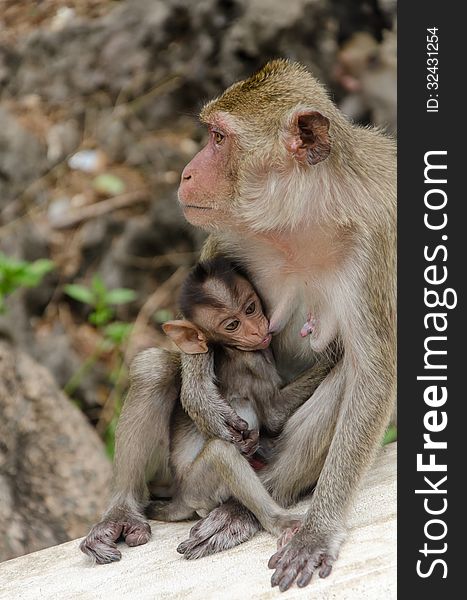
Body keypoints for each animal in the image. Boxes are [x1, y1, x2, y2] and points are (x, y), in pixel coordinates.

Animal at [150, 258, 322, 540]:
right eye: (232, 325)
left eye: (250, 308)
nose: (256, 330)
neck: (229, 348)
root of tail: (179, 497)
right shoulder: (252, 361)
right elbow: (274, 415)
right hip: (198, 488)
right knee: (222, 453)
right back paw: (279, 521)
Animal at [177, 61, 396, 592]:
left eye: (218, 138)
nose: (187, 172)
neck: (308, 216)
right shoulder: (241, 229)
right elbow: (205, 277)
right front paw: (200, 396)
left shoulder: (373, 245)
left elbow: (373, 378)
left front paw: (318, 530)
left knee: (347, 377)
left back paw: (247, 507)